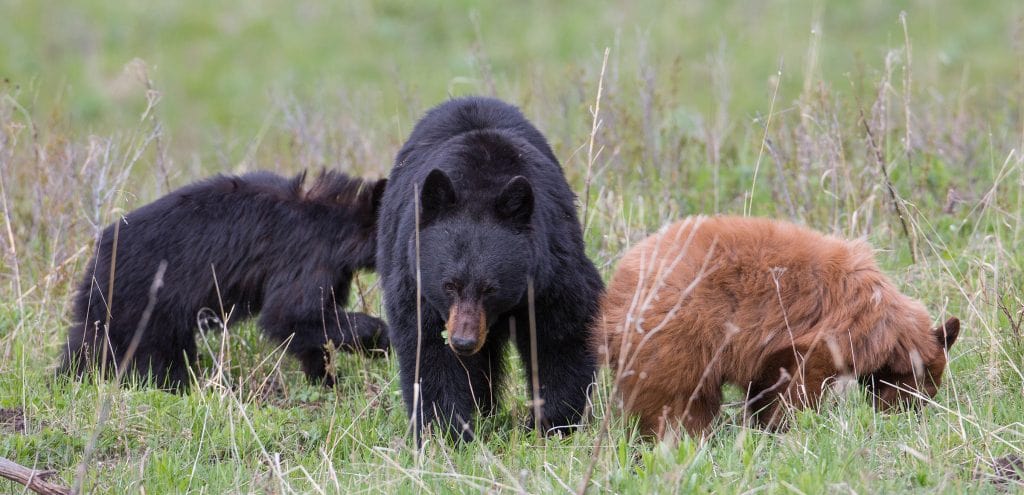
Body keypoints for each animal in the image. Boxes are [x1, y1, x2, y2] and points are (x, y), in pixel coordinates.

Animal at [60, 170, 387, 391]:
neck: (337, 222)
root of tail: (95, 261)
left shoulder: (333, 271)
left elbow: (312, 326)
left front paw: (327, 379)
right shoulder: (307, 257)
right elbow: (288, 315)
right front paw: (379, 340)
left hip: (114, 312)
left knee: (86, 345)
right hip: (145, 305)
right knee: (159, 357)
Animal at [376, 95, 602, 442]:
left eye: (491, 288)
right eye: (449, 285)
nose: (463, 342)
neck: (478, 181)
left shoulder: (550, 269)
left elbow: (561, 333)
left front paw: (551, 423)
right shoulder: (416, 282)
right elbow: (429, 350)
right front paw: (447, 430)